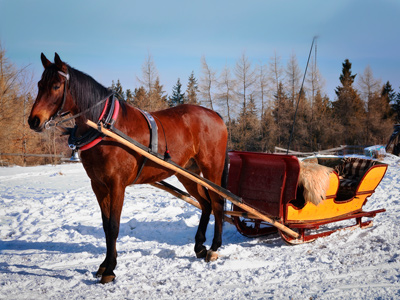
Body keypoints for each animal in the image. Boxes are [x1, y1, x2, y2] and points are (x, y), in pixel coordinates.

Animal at [28, 54, 228, 284]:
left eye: (56, 85)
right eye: (39, 84)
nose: (34, 120)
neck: (105, 127)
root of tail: (216, 115)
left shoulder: (117, 185)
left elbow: (114, 226)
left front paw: (110, 270)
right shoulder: (98, 185)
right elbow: (106, 226)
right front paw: (104, 264)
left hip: (212, 168)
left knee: (217, 203)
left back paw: (214, 247)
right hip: (188, 173)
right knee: (205, 204)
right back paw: (199, 246)